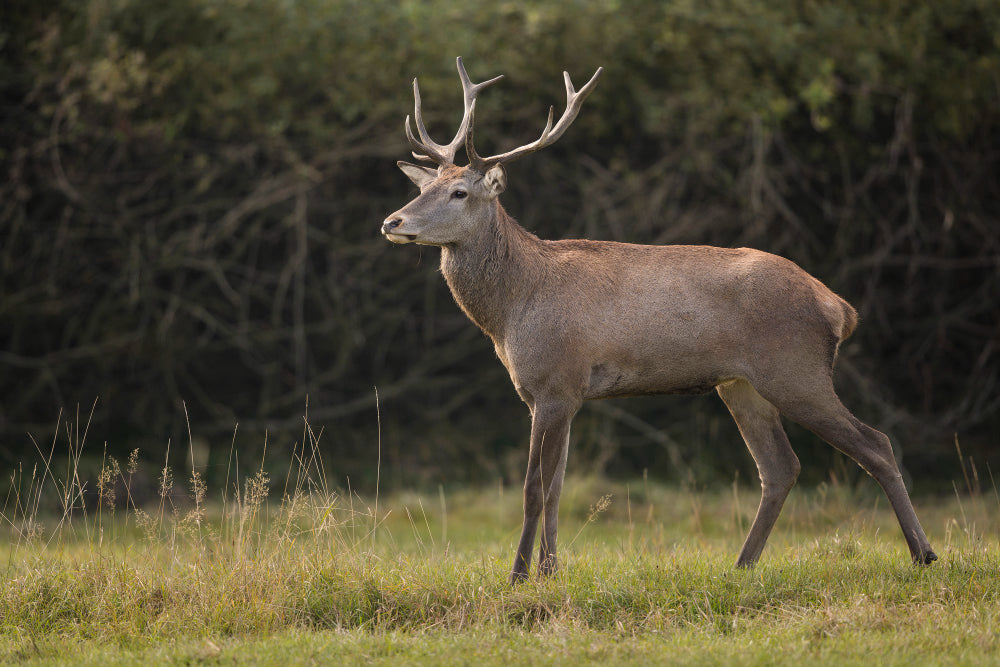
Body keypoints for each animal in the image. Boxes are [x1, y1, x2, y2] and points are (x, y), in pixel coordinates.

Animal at [381, 57, 937, 584]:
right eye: (427, 187)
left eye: (460, 193)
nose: (392, 221)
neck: (513, 311)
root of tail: (839, 308)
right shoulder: (556, 393)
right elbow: (558, 486)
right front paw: (550, 571)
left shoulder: (556, 381)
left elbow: (534, 488)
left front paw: (518, 577)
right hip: (741, 384)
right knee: (781, 466)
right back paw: (742, 565)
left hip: (795, 370)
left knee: (875, 444)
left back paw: (923, 555)